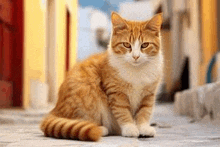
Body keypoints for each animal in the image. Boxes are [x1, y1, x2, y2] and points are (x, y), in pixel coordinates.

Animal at [40, 11, 163, 141]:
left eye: (144, 45)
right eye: (126, 45)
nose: (136, 56)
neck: (136, 71)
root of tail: (55, 109)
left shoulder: (148, 95)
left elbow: (144, 112)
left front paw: (143, 128)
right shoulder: (117, 94)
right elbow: (122, 111)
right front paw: (129, 128)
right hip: (88, 96)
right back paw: (101, 129)